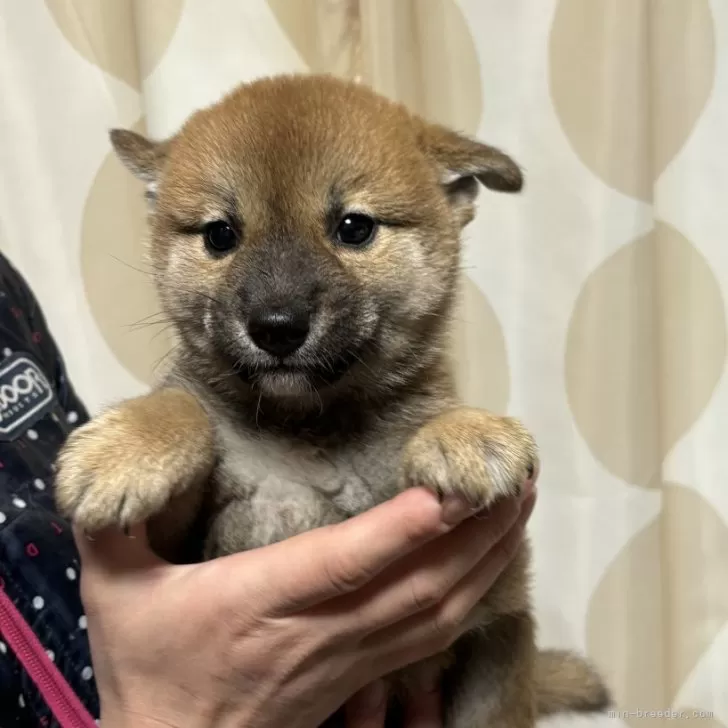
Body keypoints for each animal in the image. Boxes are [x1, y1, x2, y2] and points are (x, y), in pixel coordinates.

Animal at [55, 72, 608, 724]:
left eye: (354, 228)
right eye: (221, 235)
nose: (276, 326)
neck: (308, 429)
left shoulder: (494, 599)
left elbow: (430, 418)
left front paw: (467, 431)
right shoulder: (180, 543)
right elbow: (185, 405)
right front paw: (124, 450)